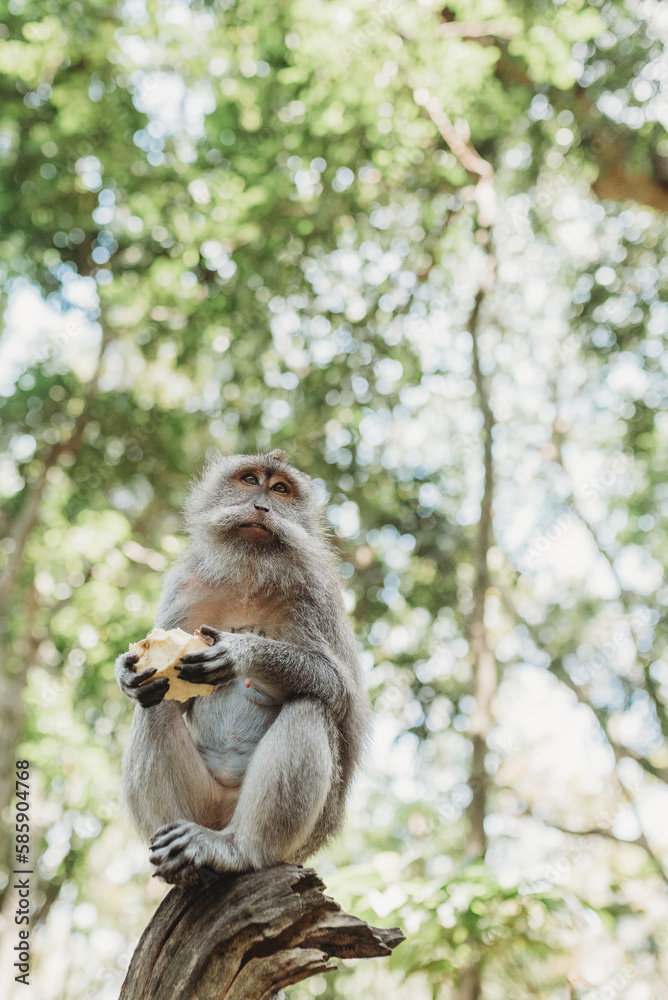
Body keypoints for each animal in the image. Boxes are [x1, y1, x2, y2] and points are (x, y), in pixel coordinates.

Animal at [114, 449, 370, 886]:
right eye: (250, 480)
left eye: (281, 488)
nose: (262, 506)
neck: (251, 570)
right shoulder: (184, 584)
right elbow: (169, 691)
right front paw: (127, 670)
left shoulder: (315, 591)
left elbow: (338, 690)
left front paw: (241, 652)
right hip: (204, 803)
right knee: (156, 701)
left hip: (303, 839)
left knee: (311, 706)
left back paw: (238, 850)